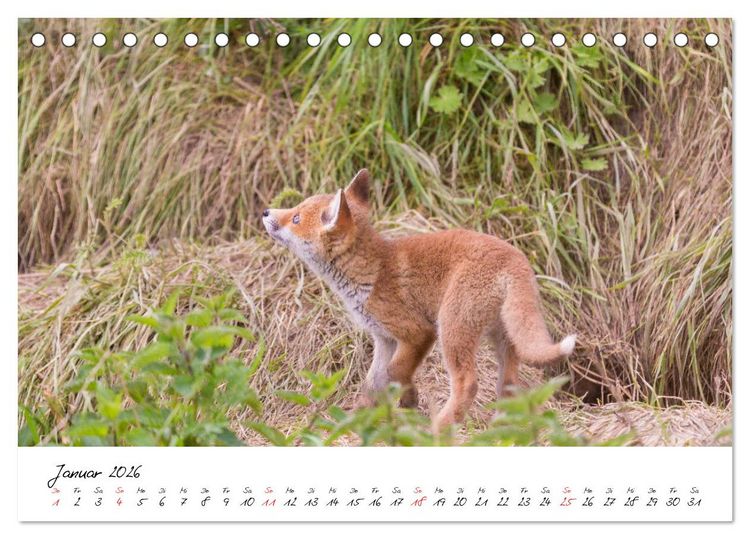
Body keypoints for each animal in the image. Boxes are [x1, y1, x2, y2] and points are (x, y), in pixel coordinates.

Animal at [262, 169, 575, 430]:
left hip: (451, 330)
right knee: (509, 387)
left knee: (468, 384)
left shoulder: (417, 333)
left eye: (296, 218)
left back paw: (440, 427)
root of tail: (516, 259)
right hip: (504, 339)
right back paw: (501, 426)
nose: (265, 211)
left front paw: (410, 399)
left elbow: (396, 371)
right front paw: (356, 419)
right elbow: (372, 383)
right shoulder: (384, 339)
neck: (371, 272)